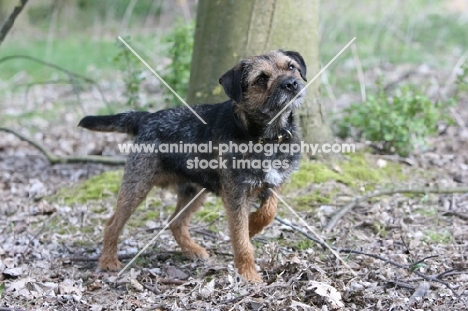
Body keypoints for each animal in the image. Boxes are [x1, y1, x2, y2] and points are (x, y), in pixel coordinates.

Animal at [79, 49, 308, 282]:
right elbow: (241, 238)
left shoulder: (275, 183)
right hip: (137, 186)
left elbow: (269, 211)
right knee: (112, 224)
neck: (266, 137)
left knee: (175, 221)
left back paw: (193, 250)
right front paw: (248, 274)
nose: (291, 83)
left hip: (195, 191)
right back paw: (108, 261)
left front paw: (252, 226)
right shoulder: (235, 195)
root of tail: (146, 117)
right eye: (261, 79)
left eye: (291, 67)